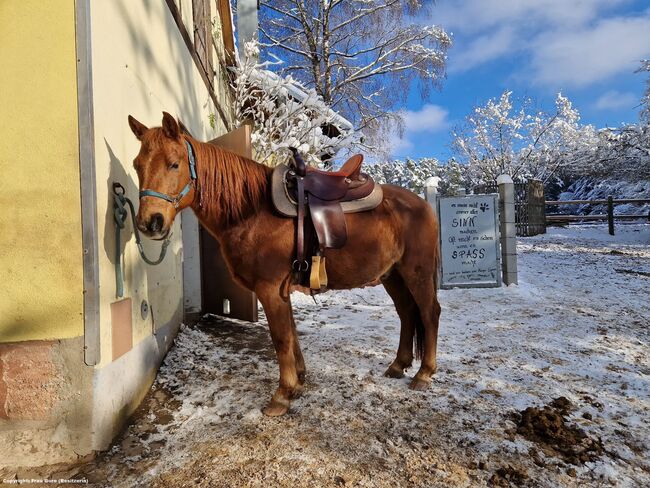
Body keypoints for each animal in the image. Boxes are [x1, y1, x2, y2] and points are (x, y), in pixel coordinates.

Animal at [126, 113, 440, 416]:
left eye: (174, 164)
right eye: (137, 165)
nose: (150, 223)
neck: (252, 210)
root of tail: (423, 205)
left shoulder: (270, 289)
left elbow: (280, 339)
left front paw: (282, 395)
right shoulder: (282, 290)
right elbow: (291, 336)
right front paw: (298, 383)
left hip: (417, 273)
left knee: (429, 313)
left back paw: (424, 374)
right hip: (393, 276)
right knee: (406, 313)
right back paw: (398, 365)